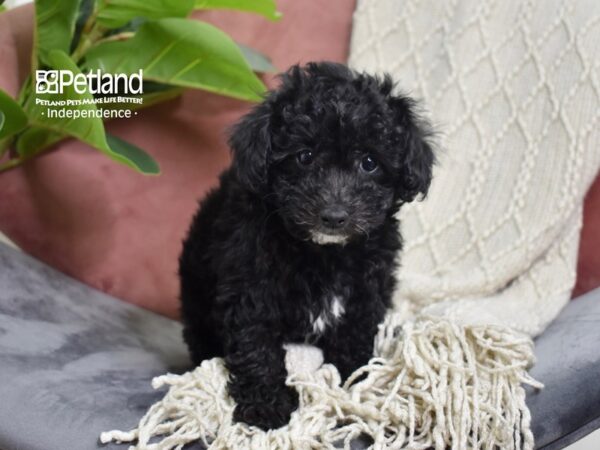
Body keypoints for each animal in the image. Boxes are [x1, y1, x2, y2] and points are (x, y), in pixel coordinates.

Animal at [176, 61, 434, 430]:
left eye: (370, 163)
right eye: (305, 157)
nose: (334, 216)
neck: (323, 252)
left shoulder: (365, 292)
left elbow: (354, 337)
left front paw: (354, 383)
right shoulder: (250, 285)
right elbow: (256, 345)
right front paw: (266, 406)